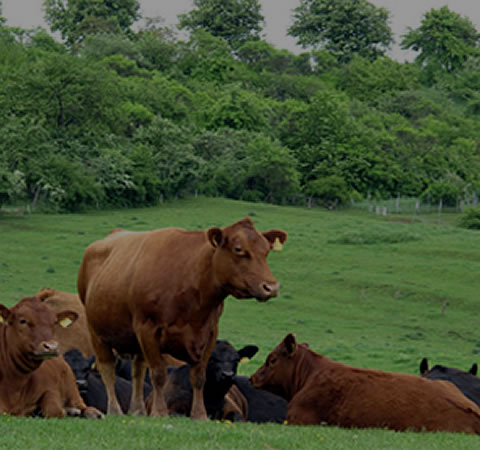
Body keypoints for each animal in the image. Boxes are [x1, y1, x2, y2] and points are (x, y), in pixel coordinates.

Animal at [77, 217, 286, 418]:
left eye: (266, 251)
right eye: (238, 249)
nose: (271, 287)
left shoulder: (209, 332)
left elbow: (199, 376)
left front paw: (199, 414)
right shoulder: (148, 328)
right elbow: (158, 374)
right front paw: (159, 412)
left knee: (137, 370)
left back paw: (137, 410)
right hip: (97, 332)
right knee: (108, 369)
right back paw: (115, 410)